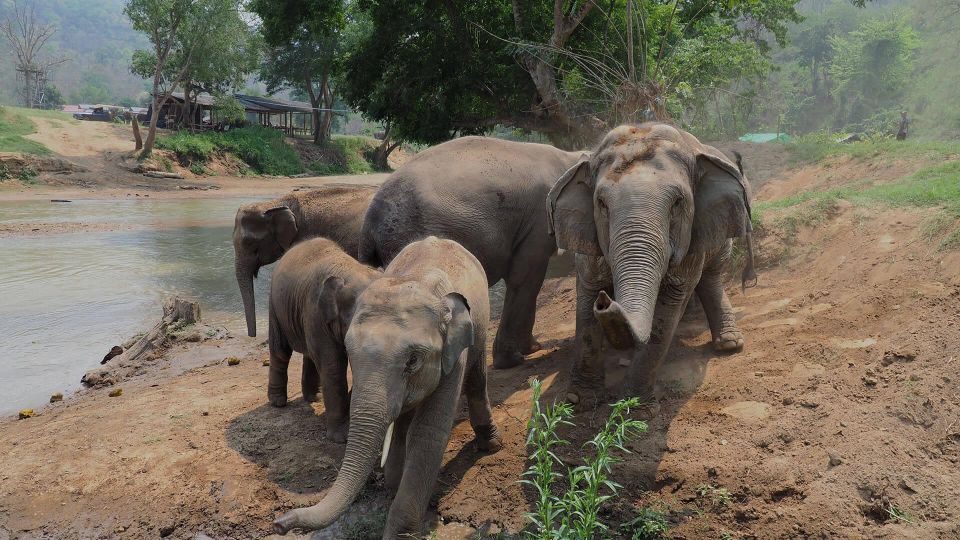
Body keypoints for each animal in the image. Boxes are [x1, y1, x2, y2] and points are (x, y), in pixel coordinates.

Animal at [268, 237, 380, 442]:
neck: (351, 271)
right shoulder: (316, 312)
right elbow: (332, 366)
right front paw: (340, 438)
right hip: (275, 305)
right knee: (280, 350)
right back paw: (278, 402)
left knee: (310, 354)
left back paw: (315, 398)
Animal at [360, 137, 580, 370]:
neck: (571, 156)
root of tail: (369, 224)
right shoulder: (538, 219)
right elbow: (526, 276)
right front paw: (514, 359)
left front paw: (531, 348)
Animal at [548, 124, 756, 408]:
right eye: (601, 203)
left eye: (678, 202)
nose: (605, 302)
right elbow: (587, 295)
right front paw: (577, 401)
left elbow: (668, 308)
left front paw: (634, 406)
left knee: (711, 278)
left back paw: (730, 344)